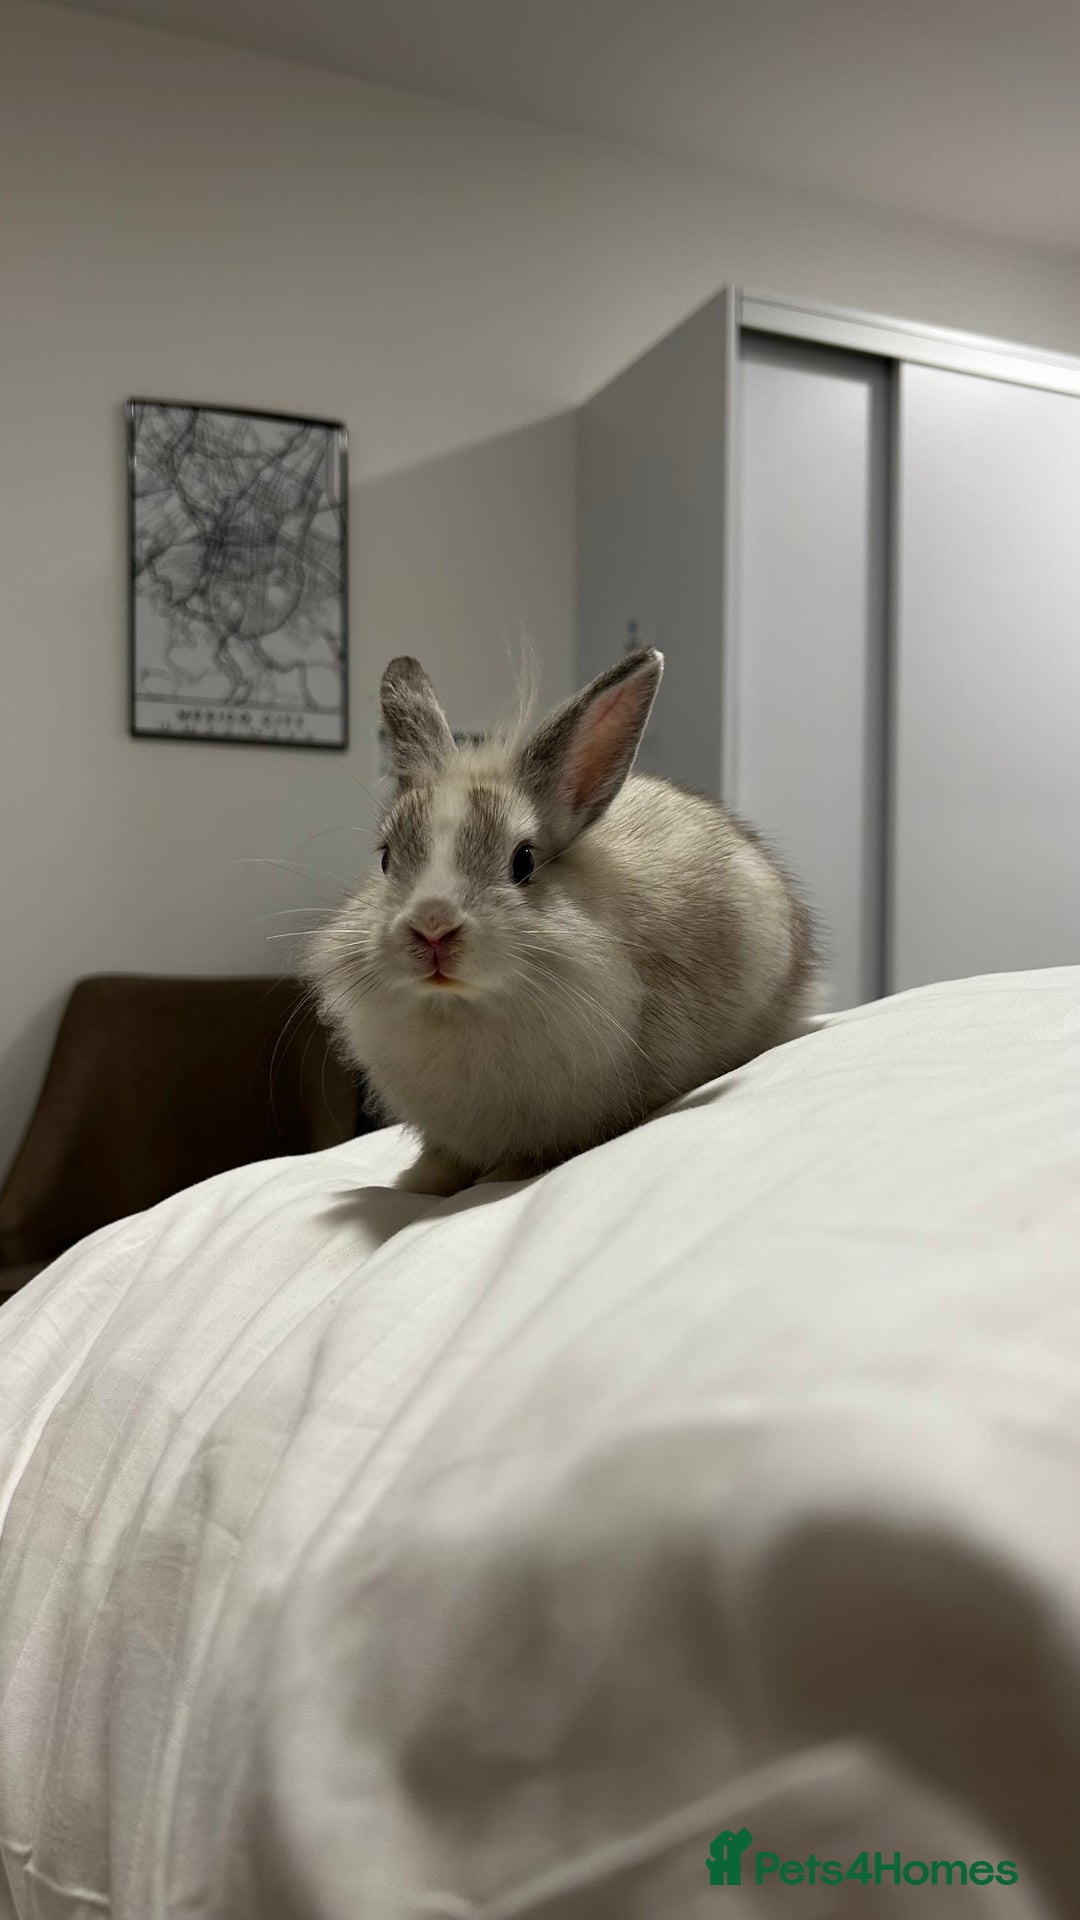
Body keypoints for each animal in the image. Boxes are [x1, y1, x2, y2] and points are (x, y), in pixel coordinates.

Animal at [307, 648, 818, 1195]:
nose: (432, 927)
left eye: (524, 862)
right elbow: (443, 1160)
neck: (458, 1009)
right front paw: (419, 1183)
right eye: (385, 860)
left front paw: (503, 1175)